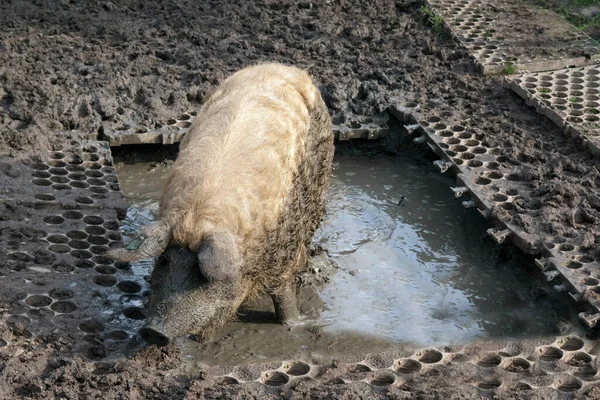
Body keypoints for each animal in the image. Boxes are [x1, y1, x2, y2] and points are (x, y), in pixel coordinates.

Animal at [106, 64, 332, 346]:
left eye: (203, 276)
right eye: (164, 262)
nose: (153, 331)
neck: (197, 218)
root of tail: (282, 68)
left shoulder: (281, 254)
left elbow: (283, 295)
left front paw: (294, 325)